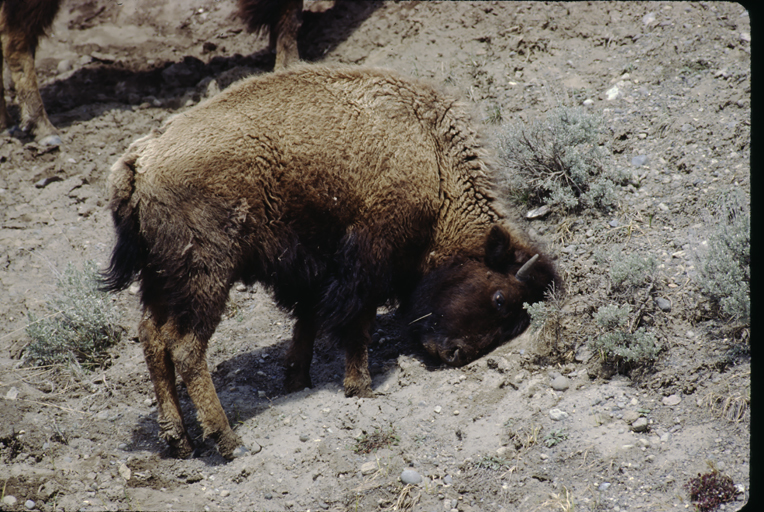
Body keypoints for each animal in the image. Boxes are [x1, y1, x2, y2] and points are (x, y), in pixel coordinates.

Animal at [101, 65, 560, 460]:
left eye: (515, 324)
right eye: (499, 298)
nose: (455, 353)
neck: (430, 155)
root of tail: (139, 162)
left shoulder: (313, 270)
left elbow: (307, 322)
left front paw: (296, 380)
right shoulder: (366, 258)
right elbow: (357, 324)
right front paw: (361, 387)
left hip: (162, 280)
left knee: (152, 338)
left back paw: (179, 441)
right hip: (206, 278)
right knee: (185, 348)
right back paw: (229, 442)